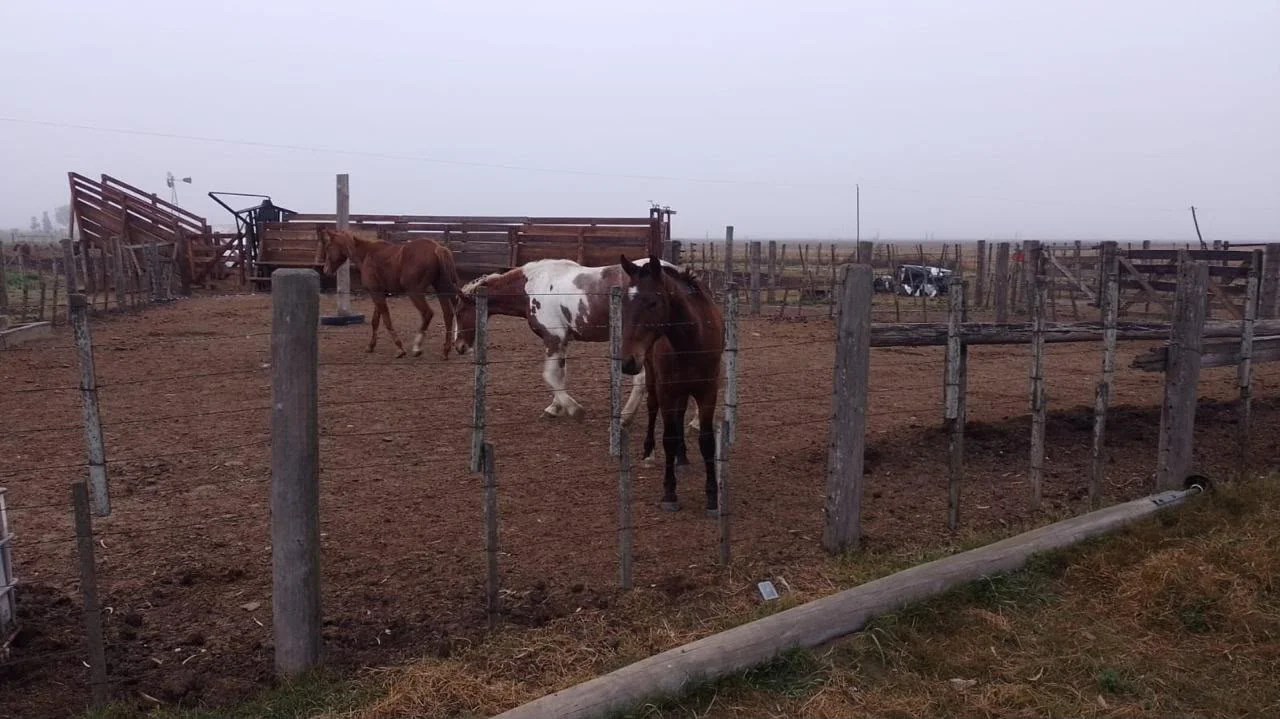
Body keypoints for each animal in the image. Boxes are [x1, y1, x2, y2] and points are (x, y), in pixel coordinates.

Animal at [319, 228, 461, 359]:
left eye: (328, 246)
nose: (325, 270)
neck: (367, 255)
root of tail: (437, 248)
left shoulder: (376, 294)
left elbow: (386, 320)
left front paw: (400, 349)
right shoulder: (378, 293)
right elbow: (375, 321)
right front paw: (370, 346)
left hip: (415, 292)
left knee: (428, 313)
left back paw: (417, 348)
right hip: (441, 288)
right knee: (448, 314)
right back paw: (446, 351)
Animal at [452, 257, 675, 423]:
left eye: (460, 312)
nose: (459, 346)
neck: (532, 286)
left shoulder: (553, 338)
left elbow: (550, 376)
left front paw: (573, 409)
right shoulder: (562, 341)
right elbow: (559, 374)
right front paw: (555, 407)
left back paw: (626, 417)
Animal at [619, 255, 724, 515]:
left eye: (653, 302)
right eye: (624, 303)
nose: (627, 361)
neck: (692, 341)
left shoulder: (707, 392)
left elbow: (707, 441)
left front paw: (712, 497)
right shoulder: (667, 390)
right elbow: (668, 437)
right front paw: (669, 493)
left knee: (679, 415)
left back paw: (682, 457)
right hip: (653, 378)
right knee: (652, 407)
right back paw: (649, 453)